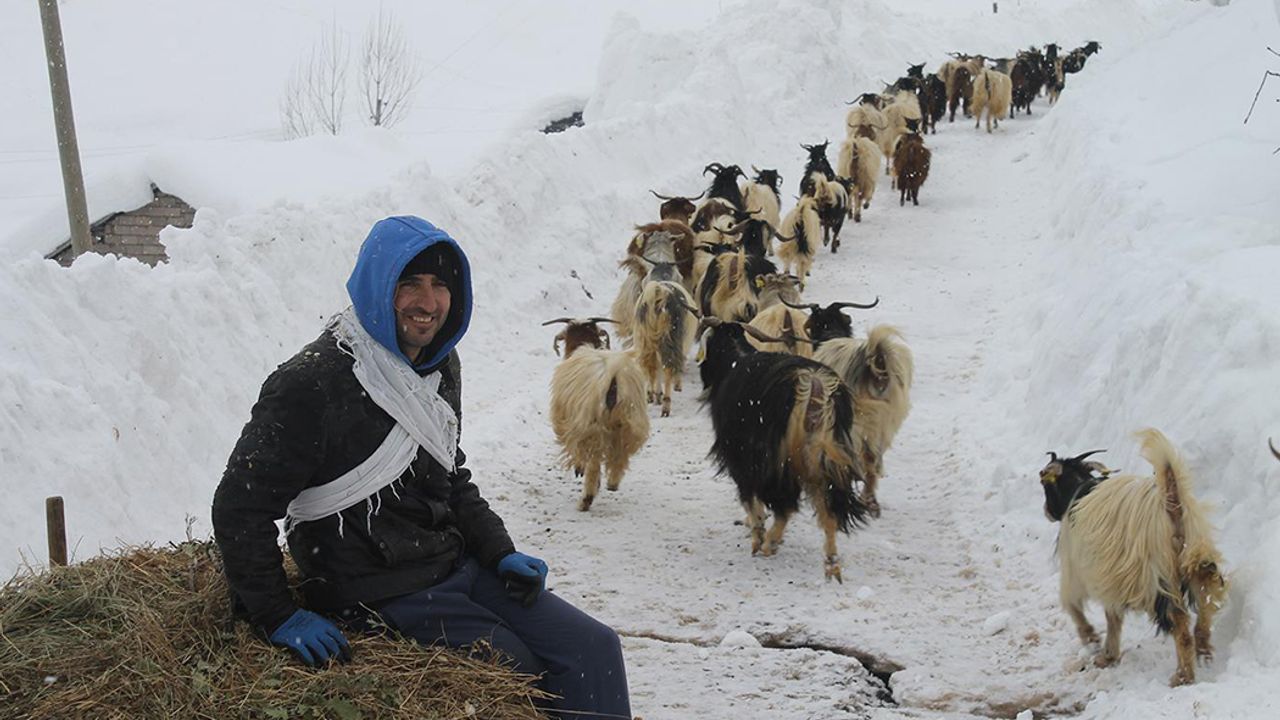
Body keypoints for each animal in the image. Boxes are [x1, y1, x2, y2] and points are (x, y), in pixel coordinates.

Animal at [544, 317, 650, 511]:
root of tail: (613, 376)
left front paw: (579, 469)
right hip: (630, 421)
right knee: (620, 454)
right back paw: (613, 483)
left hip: (592, 425)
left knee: (593, 463)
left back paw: (586, 499)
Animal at [697, 316, 871, 581]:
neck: (735, 358)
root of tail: (815, 386)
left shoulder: (741, 457)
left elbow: (749, 497)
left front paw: (757, 535)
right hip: (825, 460)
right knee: (828, 510)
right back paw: (831, 564)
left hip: (778, 461)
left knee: (784, 505)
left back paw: (769, 543)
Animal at [1038, 430, 1228, 686]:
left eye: (1045, 485)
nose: (1047, 511)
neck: (1077, 491)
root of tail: (1171, 501)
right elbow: (1112, 615)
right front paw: (1107, 653)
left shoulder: (1080, 569)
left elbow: (1079, 606)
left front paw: (1095, 642)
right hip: (1196, 556)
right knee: (1206, 599)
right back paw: (1204, 649)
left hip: (1157, 576)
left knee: (1178, 623)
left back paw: (1183, 675)